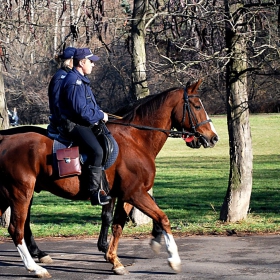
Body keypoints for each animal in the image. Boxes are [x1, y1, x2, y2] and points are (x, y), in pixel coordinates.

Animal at [0, 80, 218, 276]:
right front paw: (173, 258)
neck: (136, 139)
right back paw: (35, 267)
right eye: (197, 106)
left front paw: (115, 259)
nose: (213, 137)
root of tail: (4, 140)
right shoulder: (135, 193)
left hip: (9, 196)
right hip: (21, 194)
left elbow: (117, 225)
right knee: (16, 229)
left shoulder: (126, 195)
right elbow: (162, 217)